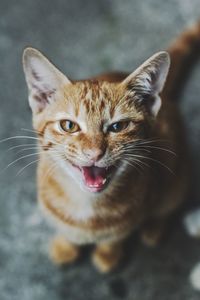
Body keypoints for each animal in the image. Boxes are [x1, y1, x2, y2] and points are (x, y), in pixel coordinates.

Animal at [22, 22, 200, 274]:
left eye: (118, 126)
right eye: (69, 125)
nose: (94, 153)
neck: (87, 207)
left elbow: (116, 237)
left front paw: (108, 253)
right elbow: (66, 231)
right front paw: (66, 244)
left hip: (177, 177)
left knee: (166, 204)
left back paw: (154, 227)